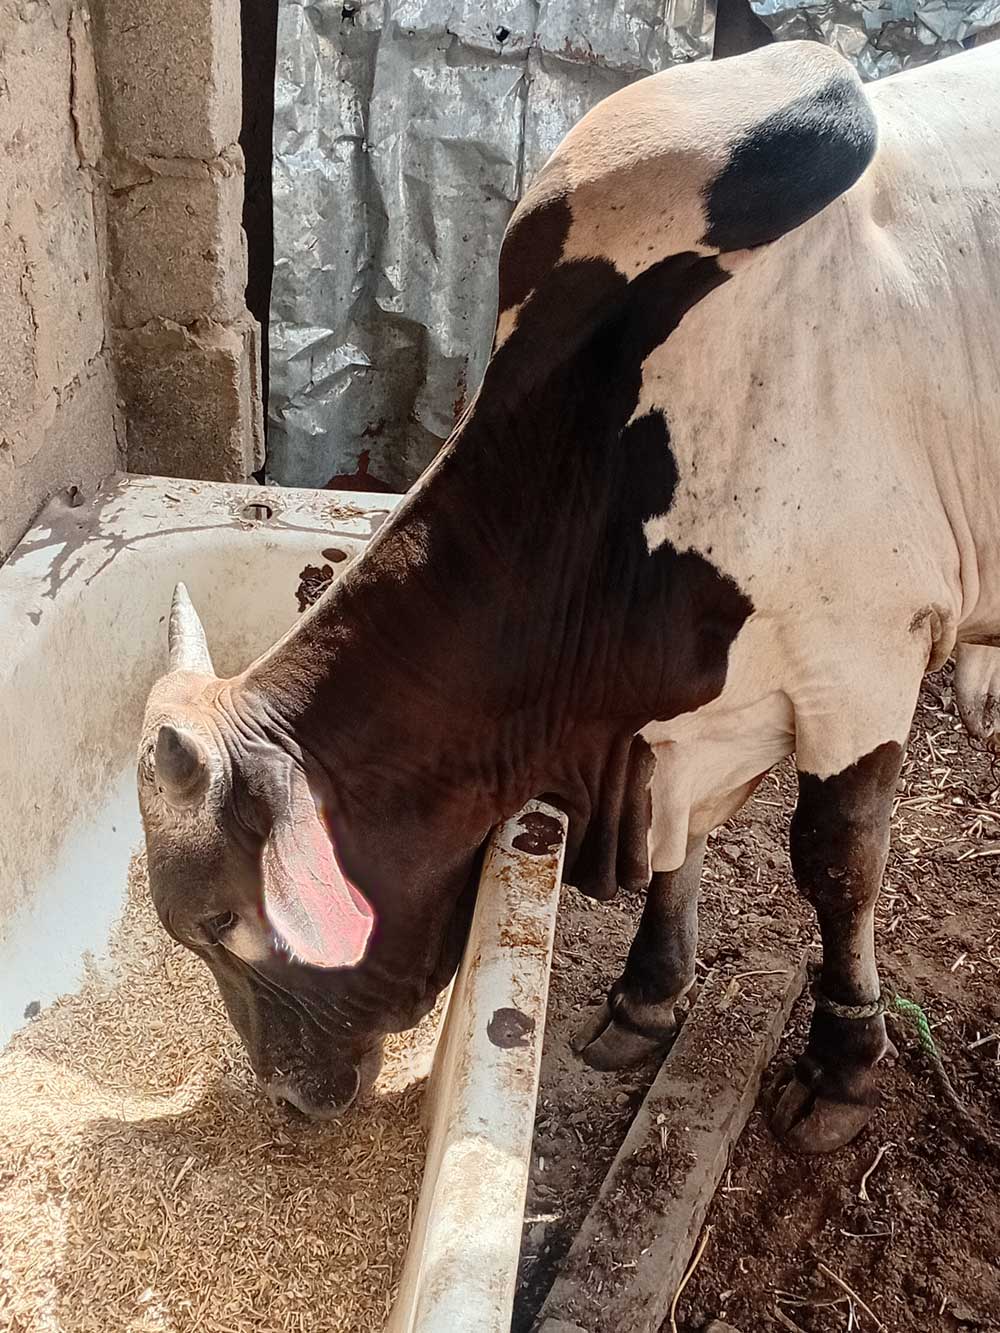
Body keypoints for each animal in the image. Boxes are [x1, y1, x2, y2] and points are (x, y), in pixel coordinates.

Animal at [138, 38, 1000, 1154]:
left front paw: (843, 1064)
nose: (287, 1092)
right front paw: (645, 999)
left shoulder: (861, 666)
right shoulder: (685, 716)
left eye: (215, 922)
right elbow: (680, 841)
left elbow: (836, 862)